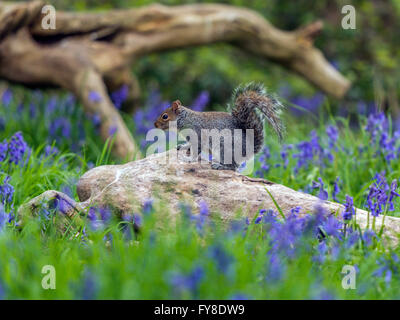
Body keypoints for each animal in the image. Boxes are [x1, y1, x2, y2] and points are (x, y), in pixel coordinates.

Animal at [154, 84, 284, 171]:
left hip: (224, 147)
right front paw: (182, 146)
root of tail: (250, 150)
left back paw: (220, 166)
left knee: (233, 167)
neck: (186, 119)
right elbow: (189, 144)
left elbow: (197, 150)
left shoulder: (197, 134)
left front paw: (189, 159)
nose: (155, 124)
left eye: (165, 116)